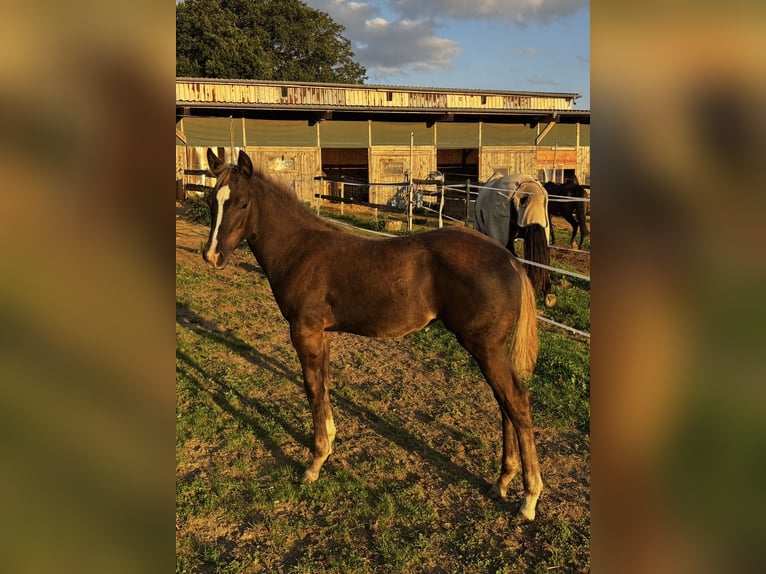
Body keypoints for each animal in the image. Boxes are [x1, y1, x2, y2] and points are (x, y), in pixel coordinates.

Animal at [202, 148, 544, 521]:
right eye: (211, 199)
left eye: (243, 203)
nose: (212, 256)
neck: (301, 250)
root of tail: (509, 259)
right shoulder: (322, 334)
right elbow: (323, 384)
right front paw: (329, 444)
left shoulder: (304, 332)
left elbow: (312, 388)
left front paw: (314, 463)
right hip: (491, 350)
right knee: (504, 403)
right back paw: (502, 482)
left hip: (486, 348)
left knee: (516, 402)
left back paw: (529, 498)